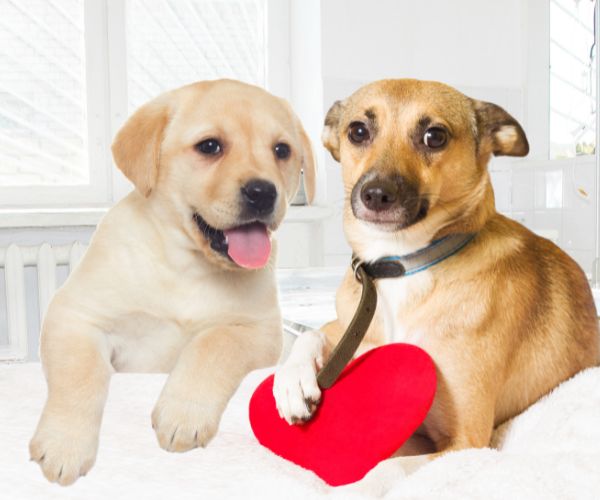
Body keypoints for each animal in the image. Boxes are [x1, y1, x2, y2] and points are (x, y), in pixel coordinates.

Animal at [30, 81, 316, 484]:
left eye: (282, 151)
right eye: (210, 146)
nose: (263, 192)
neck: (186, 265)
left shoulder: (260, 331)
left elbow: (212, 345)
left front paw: (184, 414)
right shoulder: (74, 316)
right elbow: (80, 373)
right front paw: (64, 444)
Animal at [274, 78, 600, 464]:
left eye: (435, 136)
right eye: (358, 131)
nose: (376, 194)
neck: (403, 266)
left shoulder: (465, 441)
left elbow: (385, 468)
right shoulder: (351, 327)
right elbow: (313, 333)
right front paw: (292, 379)